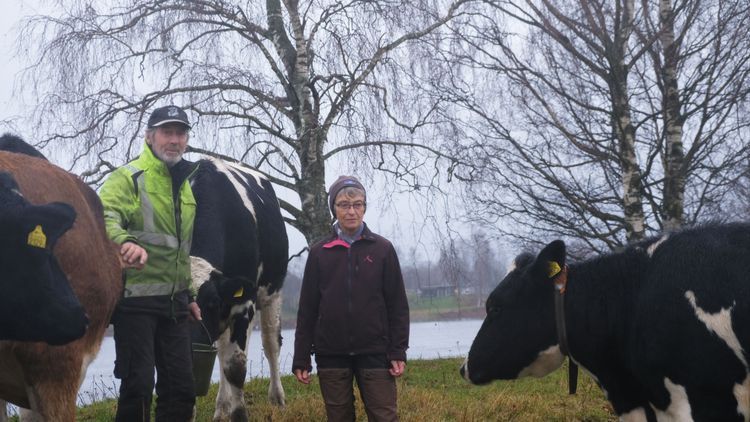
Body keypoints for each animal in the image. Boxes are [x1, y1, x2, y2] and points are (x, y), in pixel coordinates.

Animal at [189, 157, 288, 421]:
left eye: (212, 302)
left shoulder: (243, 302)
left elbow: (235, 366)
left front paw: (240, 413)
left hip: (272, 293)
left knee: (271, 343)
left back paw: (277, 397)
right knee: (223, 348)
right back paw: (222, 406)